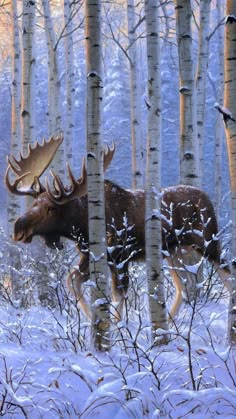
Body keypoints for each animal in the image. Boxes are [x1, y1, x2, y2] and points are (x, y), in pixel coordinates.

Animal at [4, 136, 231, 320]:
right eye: (34, 203)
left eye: (50, 208)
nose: (18, 228)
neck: (82, 226)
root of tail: (207, 199)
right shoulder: (90, 255)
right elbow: (72, 281)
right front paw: (92, 321)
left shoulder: (121, 256)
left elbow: (118, 295)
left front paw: (116, 328)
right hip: (175, 251)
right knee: (186, 286)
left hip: (208, 242)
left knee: (227, 273)